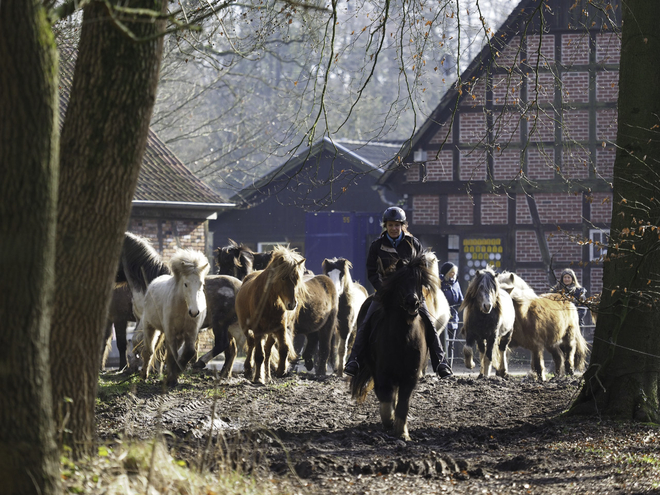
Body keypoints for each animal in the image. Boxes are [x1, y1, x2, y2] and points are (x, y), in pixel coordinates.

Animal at [140, 248, 210, 388]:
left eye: (201, 284)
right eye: (186, 284)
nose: (194, 312)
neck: (183, 308)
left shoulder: (190, 332)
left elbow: (189, 352)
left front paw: (176, 373)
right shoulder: (170, 331)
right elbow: (171, 355)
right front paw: (171, 379)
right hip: (149, 326)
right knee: (148, 351)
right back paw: (144, 375)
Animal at [233, 246, 308, 386]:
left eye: (297, 278)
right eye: (283, 278)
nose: (292, 304)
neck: (268, 302)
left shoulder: (280, 328)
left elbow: (284, 349)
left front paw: (281, 370)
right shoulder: (258, 330)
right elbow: (259, 355)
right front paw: (258, 378)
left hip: (271, 333)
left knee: (267, 351)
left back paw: (268, 376)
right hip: (247, 328)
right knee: (251, 344)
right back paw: (248, 369)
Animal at [350, 252, 438, 442]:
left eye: (419, 281)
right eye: (400, 281)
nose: (413, 303)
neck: (403, 338)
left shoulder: (410, 376)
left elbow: (403, 404)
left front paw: (403, 433)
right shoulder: (382, 373)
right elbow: (385, 399)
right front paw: (389, 422)